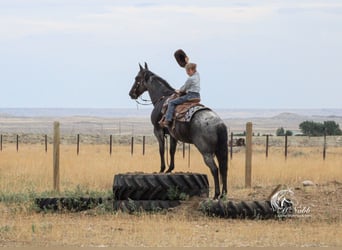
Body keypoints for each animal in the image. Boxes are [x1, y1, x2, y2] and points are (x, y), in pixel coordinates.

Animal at [128, 62, 227, 199]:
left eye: (137, 78)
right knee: (223, 169)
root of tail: (219, 124)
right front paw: (170, 169)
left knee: (214, 169)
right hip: (218, 150)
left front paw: (162, 169)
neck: (162, 98)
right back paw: (223, 194)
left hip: (206, 151)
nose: (131, 94)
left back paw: (216, 194)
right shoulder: (172, 135)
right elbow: (172, 150)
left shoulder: (158, 130)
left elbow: (161, 150)